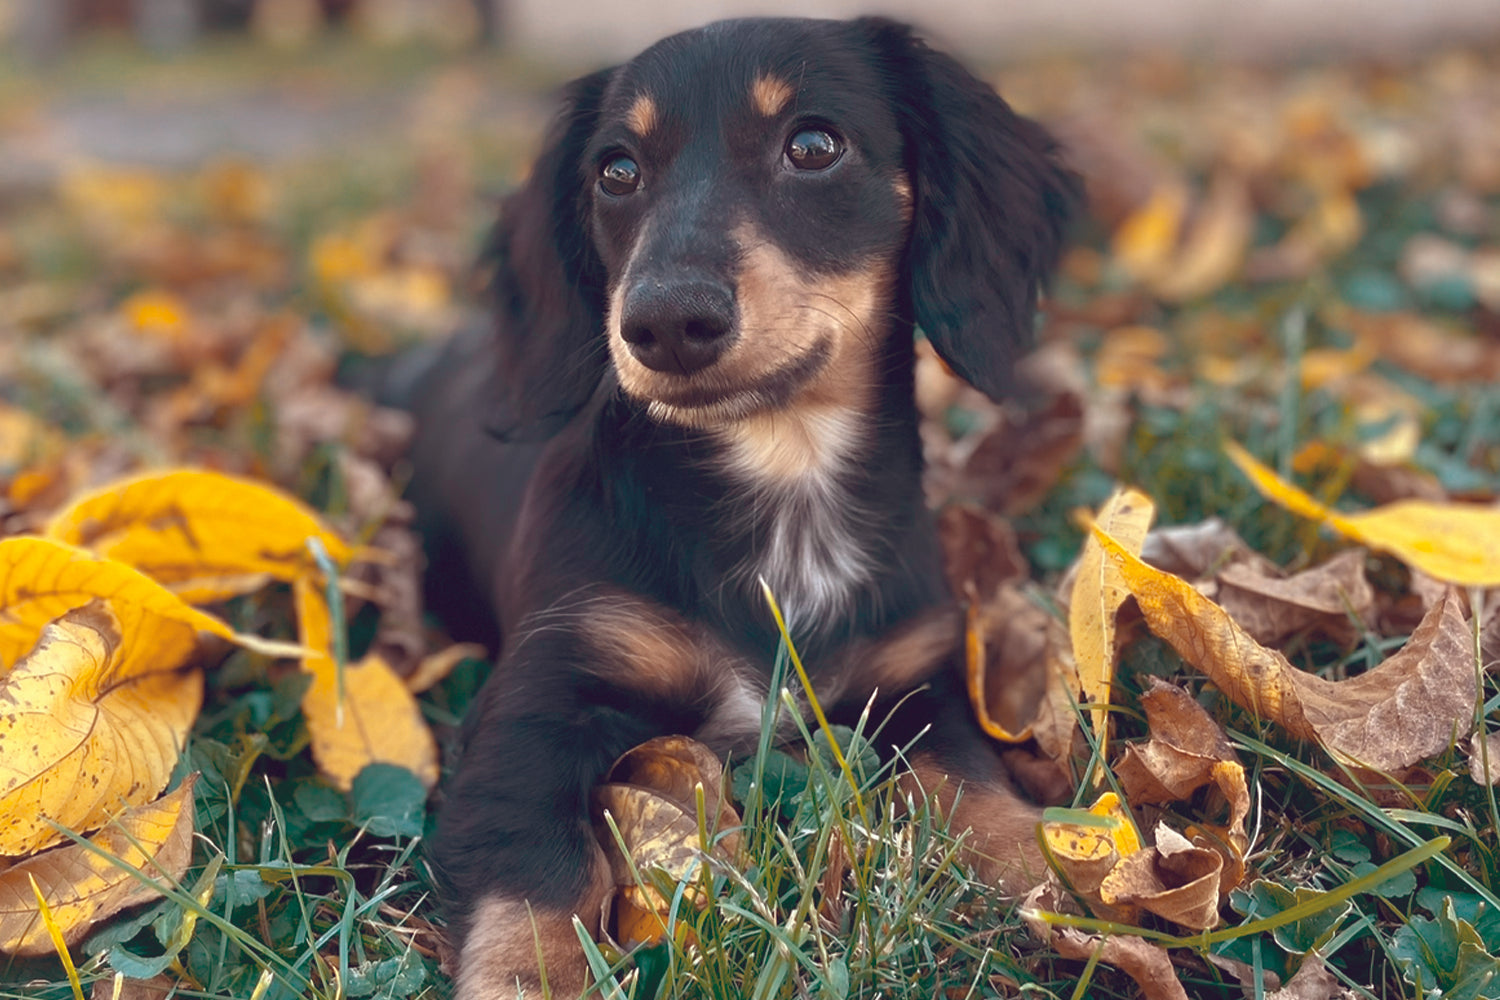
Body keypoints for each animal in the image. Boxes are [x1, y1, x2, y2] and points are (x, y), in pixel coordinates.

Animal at [381, 15, 1074, 1000]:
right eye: (616, 170)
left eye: (814, 146)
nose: (665, 323)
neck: (783, 470)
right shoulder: (541, 697)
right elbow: (534, 863)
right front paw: (531, 971)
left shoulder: (916, 680)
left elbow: (974, 783)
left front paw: (1061, 880)